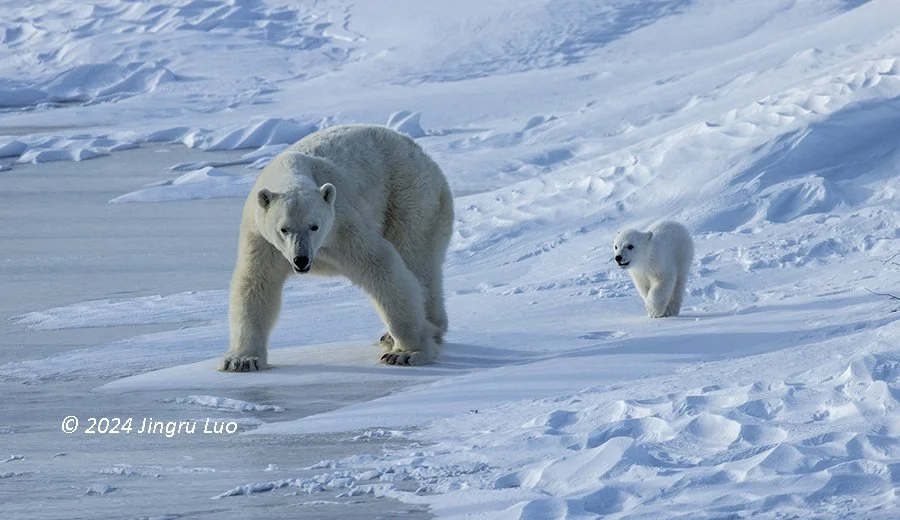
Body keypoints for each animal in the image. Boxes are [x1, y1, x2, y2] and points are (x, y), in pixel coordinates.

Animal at [219, 124, 454, 372]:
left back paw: (416, 330)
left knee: (416, 258)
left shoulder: (339, 226)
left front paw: (406, 353)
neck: (290, 170)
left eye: (314, 226)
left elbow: (381, 267)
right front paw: (241, 360)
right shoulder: (262, 238)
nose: (301, 259)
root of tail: (424, 156)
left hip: (409, 197)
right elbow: (256, 283)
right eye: (284, 229)